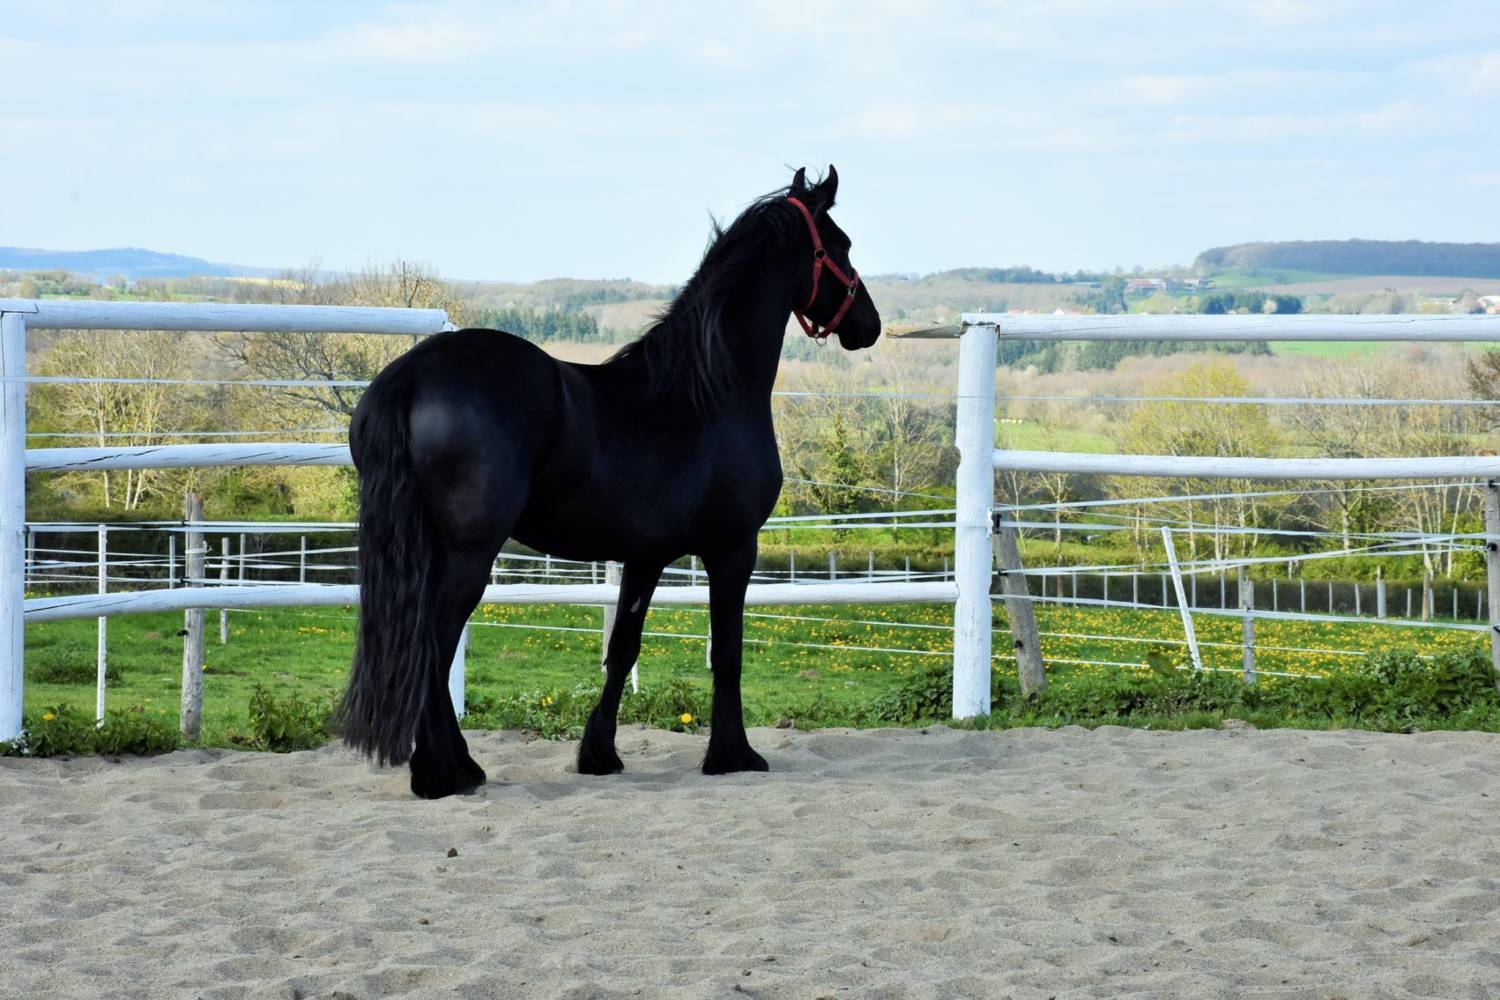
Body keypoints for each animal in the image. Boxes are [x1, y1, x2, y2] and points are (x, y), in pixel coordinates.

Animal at [338, 166, 882, 798]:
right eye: (841, 245)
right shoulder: (733, 549)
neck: (709, 392)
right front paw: (733, 753)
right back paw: (444, 771)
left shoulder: (645, 557)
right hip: (469, 552)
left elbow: (623, 649)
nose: (870, 325)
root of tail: (413, 374)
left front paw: (598, 751)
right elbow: (728, 652)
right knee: (434, 642)